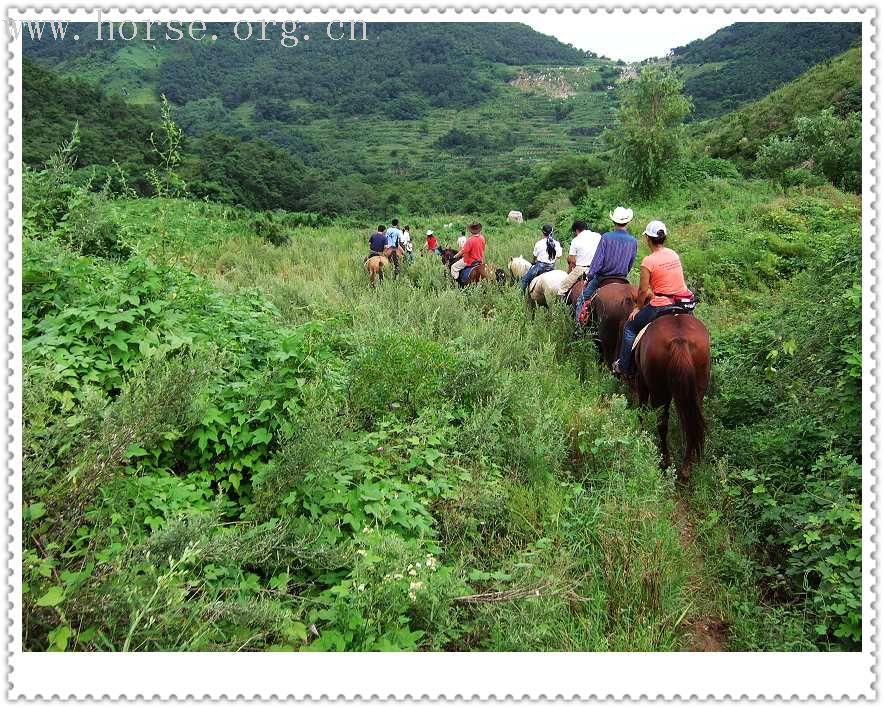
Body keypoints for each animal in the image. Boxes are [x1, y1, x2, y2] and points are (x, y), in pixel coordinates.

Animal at [636, 314, 712, 484]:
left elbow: (641, 411)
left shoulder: (641, 384)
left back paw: (665, 461)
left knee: (662, 423)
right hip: (698, 390)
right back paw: (686, 469)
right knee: (692, 425)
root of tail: (680, 340)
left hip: (659, 391)